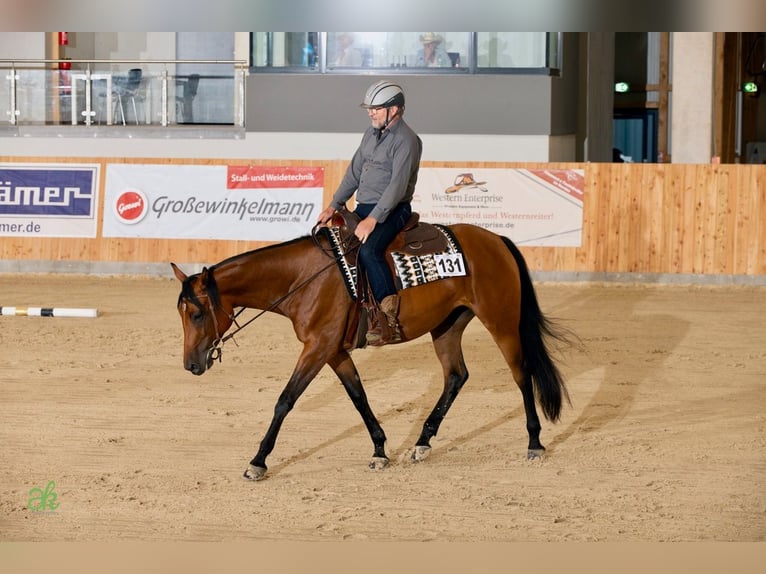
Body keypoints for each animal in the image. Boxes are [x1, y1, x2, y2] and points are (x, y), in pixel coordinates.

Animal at [171, 218, 571, 481]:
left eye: (196, 313)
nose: (190, 364)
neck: (304, 278)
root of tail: (497, 240)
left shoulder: (317, 348)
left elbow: (285, 400)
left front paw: (258, 461)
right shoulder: (333, 351)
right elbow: (358, 397)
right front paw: (379, 450)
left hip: (501, 321)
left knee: (522, 373)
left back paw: (534, 441)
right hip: (447, 326)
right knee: (456, 376)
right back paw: (422, 442)